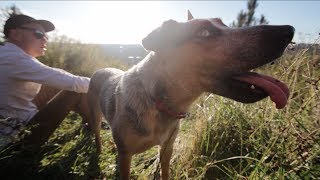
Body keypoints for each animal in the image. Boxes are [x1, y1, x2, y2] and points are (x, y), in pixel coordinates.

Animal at [86, 11, 294, 179]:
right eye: (204, 33)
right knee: (96, 133)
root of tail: (100, 70)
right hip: (95, 115)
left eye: (224, 24)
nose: (288, 30)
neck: (157, 100)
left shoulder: (166, 149)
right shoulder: (125, 155)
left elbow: (165, 173)